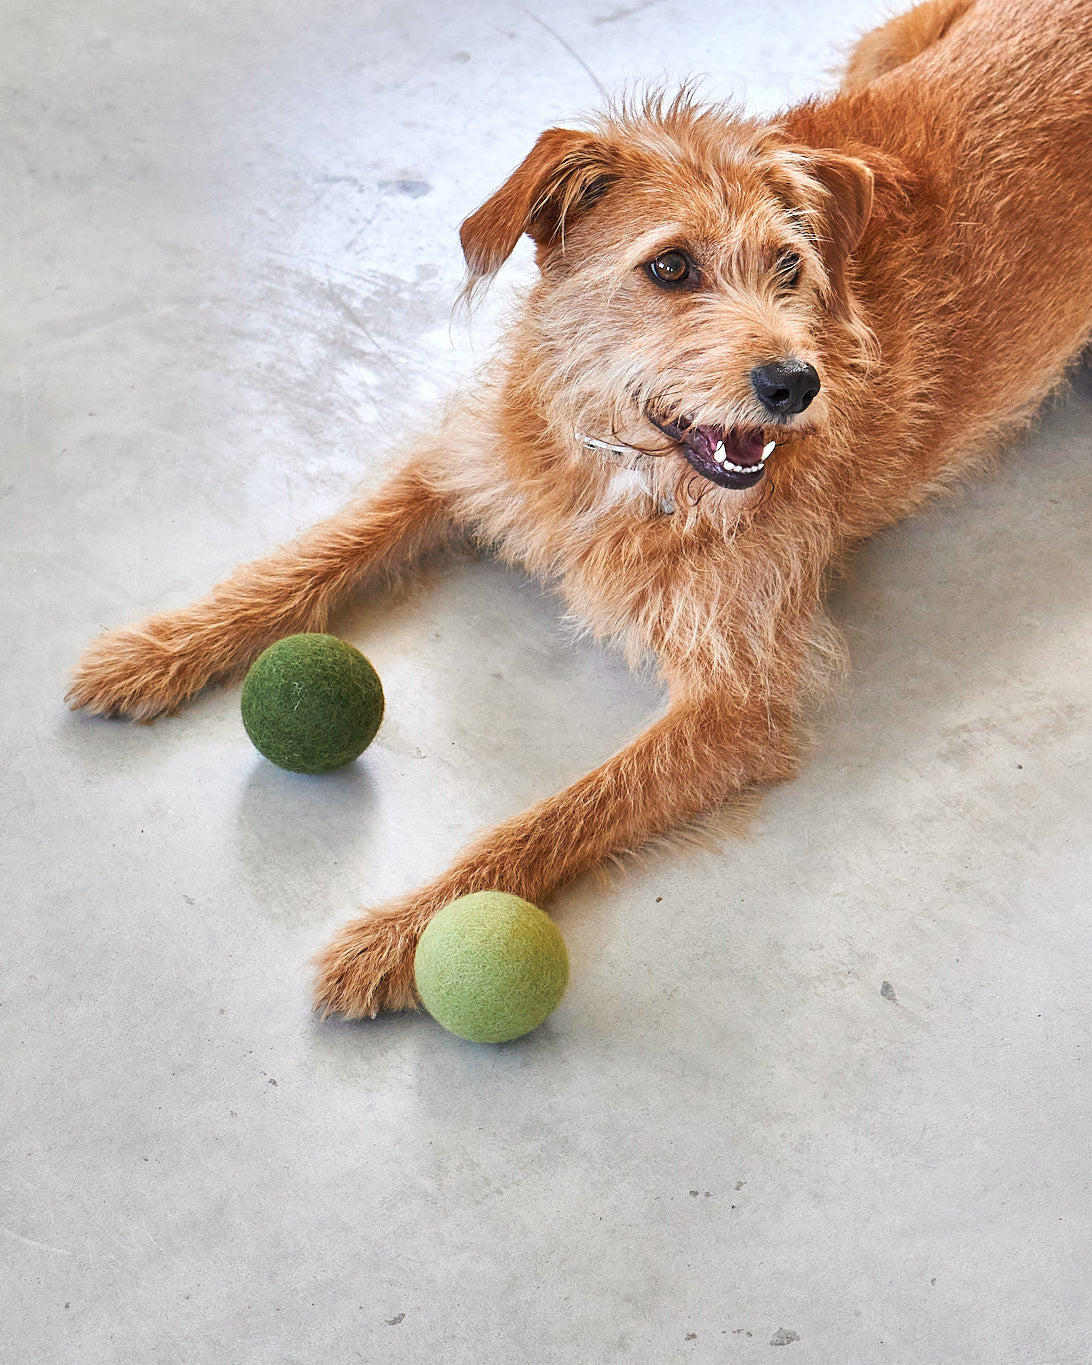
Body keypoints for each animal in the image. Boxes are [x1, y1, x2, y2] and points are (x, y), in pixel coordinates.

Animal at [66, 0, 1092, 1021]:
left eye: (791, 267)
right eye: (671, 267)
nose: (796, 384)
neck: (624, 467)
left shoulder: (739, 700)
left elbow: (559, 812)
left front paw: (405, 933)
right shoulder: (466, 467)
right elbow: (315, 552)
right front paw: (159, 648)